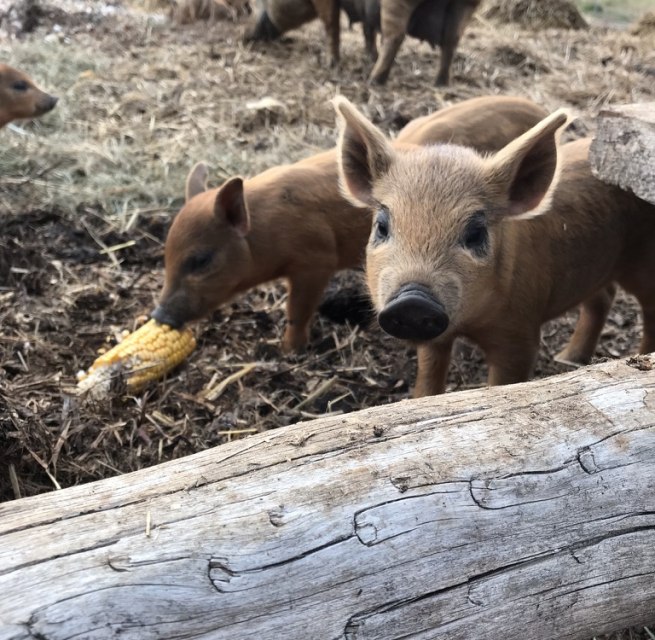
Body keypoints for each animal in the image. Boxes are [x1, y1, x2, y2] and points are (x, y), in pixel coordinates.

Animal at [151, 95, 544, 356]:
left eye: (201, 260)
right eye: (166, 256)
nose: (159, 315)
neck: (269, 231)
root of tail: (536, 108)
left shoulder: (315, 260)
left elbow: (298, 310)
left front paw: (288, 351)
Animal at [334, 96, 655, 396]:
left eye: (476, 233)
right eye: (382, 226)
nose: (413, 300)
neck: (472, 323)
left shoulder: (520, 334)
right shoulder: (438, 337)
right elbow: (429, 371)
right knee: (603, 298)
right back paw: (567, 359)